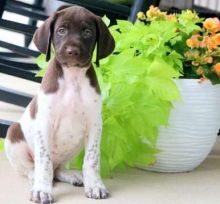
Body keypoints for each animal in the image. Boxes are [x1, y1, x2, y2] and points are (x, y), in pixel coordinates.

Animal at [4, 5, 114, 203]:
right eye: (61, 30)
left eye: (87, 32)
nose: (72, 51)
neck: (72, 77)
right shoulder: (45, 124)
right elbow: (44, 162)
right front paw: (42, 189)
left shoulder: (94, 124)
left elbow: (92, 159)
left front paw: (95, 185)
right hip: (14, 132)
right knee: (32, 168)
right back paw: (35, 177)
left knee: (57, 170)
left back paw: (71, 175)